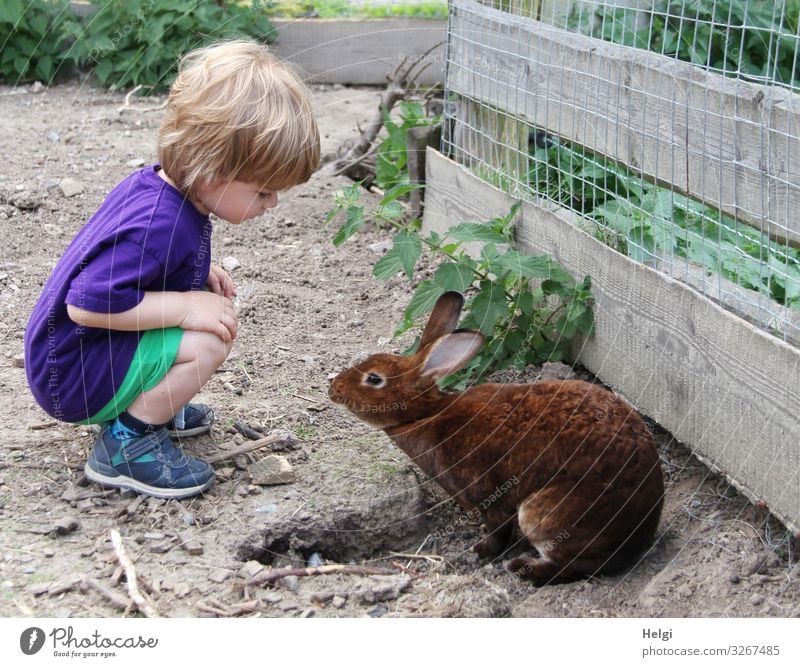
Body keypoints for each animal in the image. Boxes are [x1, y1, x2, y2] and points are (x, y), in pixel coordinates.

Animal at [328, 292, 664, 584]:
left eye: (373, 379)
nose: (333, 389)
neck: (426, 414)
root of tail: (640, 532)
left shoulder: (487, 495)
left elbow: (496, 530)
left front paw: (480, 552)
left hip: (546, 515)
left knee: (572, 564)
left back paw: (521, 568)